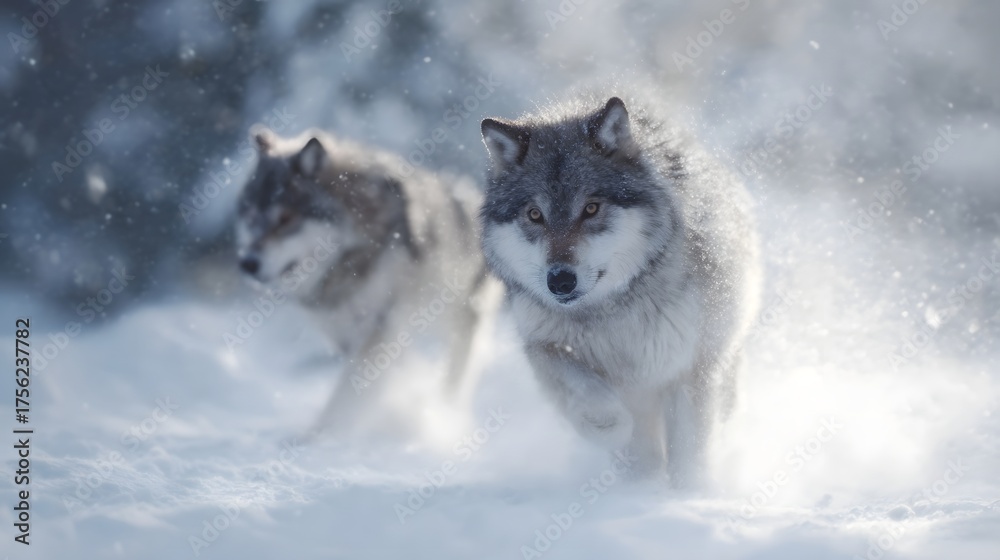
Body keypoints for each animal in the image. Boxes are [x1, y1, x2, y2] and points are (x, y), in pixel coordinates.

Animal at [235, 127, 491, 437]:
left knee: (456, 376)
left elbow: (347, 394)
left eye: (285, 219)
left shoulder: (379, 328)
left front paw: (317, 437)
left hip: (458, 320)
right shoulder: (349, 335)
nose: (247, 263)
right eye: (250, 217)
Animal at [479, 93, 760, 485]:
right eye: (535, 215)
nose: (560, 281)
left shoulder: (689, 365)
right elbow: (588, 394)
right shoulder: (544, 345)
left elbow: (689, 448)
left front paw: (689, 491)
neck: (612, 310)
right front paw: (614, 436)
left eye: (591, 208)